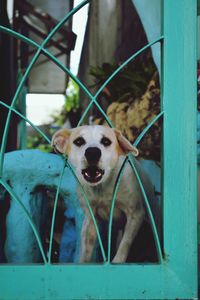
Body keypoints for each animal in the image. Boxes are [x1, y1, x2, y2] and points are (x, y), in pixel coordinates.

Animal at [52, 124, 155, 262]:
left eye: (106, 141)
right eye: (79, 141)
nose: (92, 152)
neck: (103, 187)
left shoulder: (136, 214)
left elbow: (125, 244)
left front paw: (117, 261)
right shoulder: (90, 219)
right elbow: (85, 252)